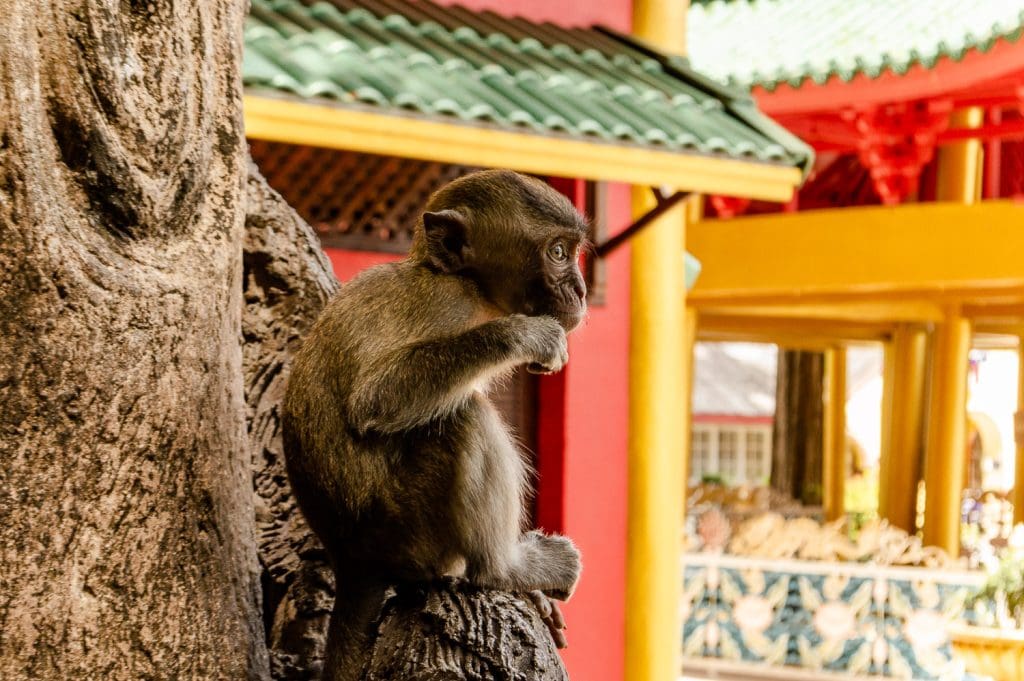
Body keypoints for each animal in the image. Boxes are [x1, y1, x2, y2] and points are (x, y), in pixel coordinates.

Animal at [284, 169, 593, 679]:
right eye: (557, 253)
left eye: (571, 251)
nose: (582, 291)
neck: (464, 282)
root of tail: (352, 560)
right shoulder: (448, 305)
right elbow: (376, 398)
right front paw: (527, 335)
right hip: (408, 529)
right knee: (463, 416)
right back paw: (504, 569)